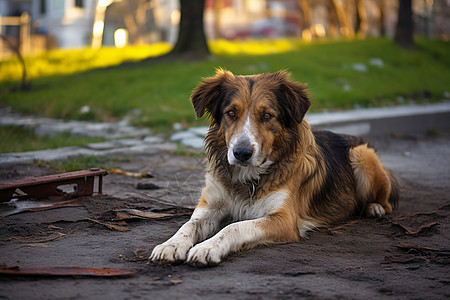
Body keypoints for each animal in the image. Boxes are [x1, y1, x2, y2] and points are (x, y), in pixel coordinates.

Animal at [149, 69, 400, 268]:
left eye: (267, 115)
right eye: (231, 113)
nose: (241, 153)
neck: (249, 178)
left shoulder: (284, 220)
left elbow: (235, 227)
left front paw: (207, 247)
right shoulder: (210, 206)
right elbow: (188, 225)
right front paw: (170, 245)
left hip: (361, 154)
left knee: (387, 202)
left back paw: (374, 207)